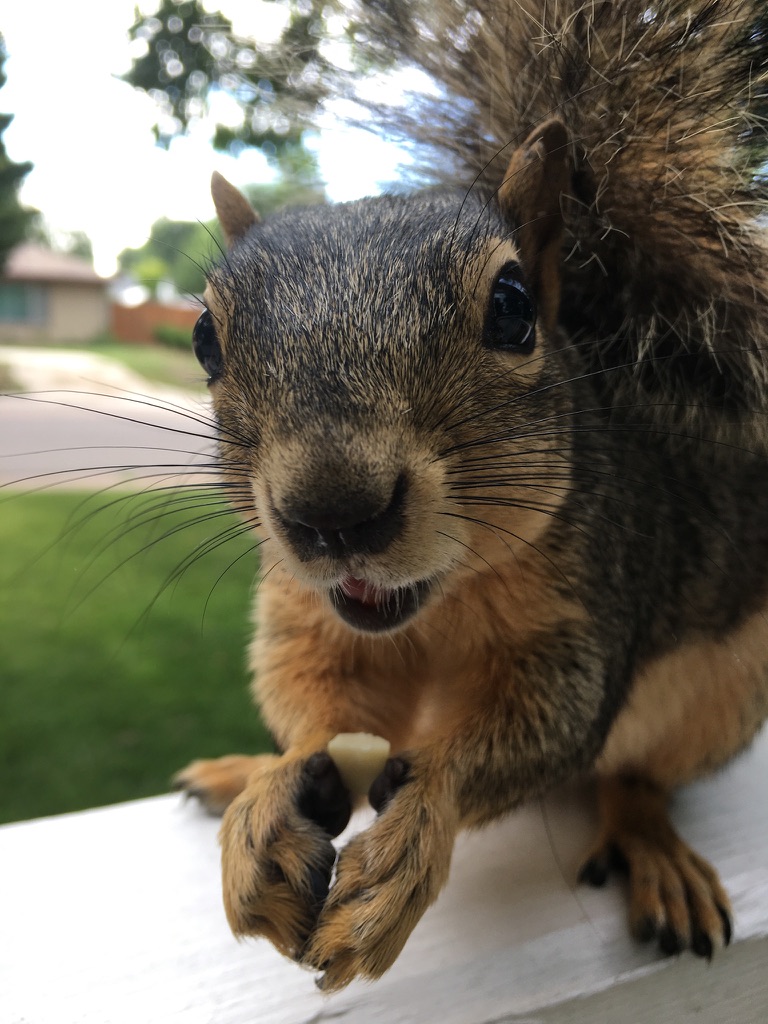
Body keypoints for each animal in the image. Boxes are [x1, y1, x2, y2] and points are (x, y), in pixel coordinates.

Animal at [173, 0, 768, 991]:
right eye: (204, 338)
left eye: (513, 308)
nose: (335, 513)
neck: (432, 609)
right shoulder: (306, 614)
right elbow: (313, 703)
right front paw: (268, 802)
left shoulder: (586, 608)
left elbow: (540, 730)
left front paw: (412, 838)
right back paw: (234, 774)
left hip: (721, 702)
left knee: (629, 776)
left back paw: (651, 844)